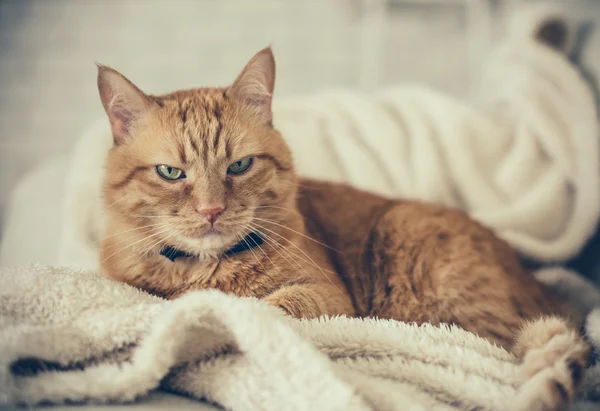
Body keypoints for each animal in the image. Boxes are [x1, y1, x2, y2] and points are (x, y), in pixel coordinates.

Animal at [99, 47, 592, 408]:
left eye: (239, 165)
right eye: (170, 173)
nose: (211, 211)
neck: (209, 268)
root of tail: (537, 281)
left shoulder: (329, 296)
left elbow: (272, 306)